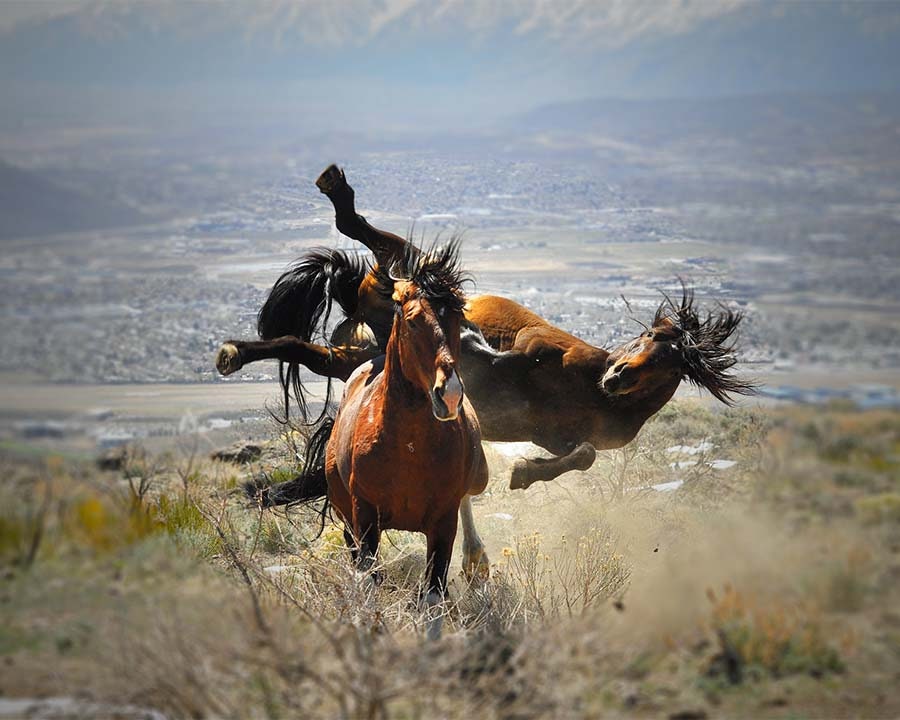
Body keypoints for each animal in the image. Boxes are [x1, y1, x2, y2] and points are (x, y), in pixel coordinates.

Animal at [214, 163, 756, 490]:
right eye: (646, 335)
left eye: (669, 363)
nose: (618, 375)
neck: (590, 389)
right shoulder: (528, 349)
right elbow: (495, 355)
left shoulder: (559, 435)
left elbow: (582, 455)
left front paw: (524, 473)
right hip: (395, 275)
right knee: (369, 237)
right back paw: (337, 189)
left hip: (352, 357)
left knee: (296, 346)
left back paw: (233, 356)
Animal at [264, 243, 488, 640]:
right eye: (412, 319)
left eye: (458, 318)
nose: (449, 395)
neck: (408, 449)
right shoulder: (364, 516)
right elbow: (367, 585)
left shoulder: (442, 524)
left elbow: (433, 595)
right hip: (347, 518)